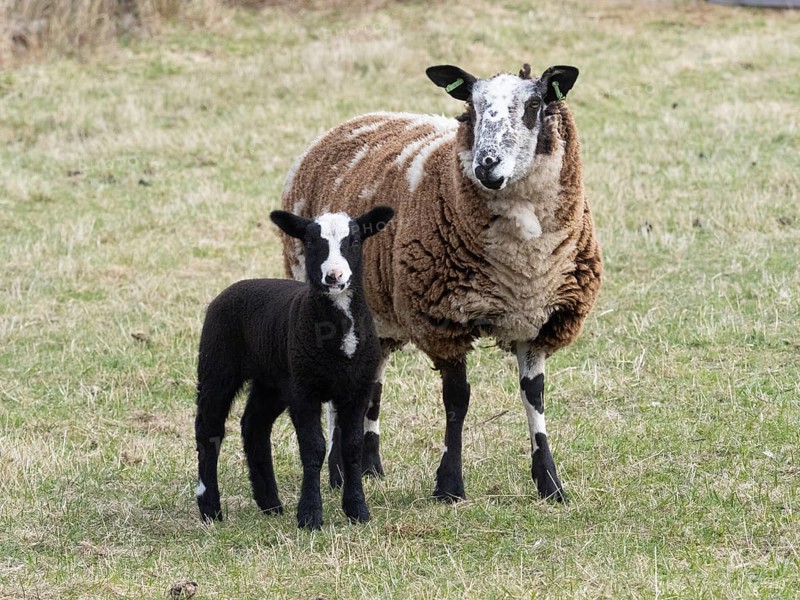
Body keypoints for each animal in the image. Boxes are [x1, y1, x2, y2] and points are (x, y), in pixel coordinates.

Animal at [194, 206, 395, 529]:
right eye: (311, 242)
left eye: (354, 241)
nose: (333, 276)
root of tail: (236, 287)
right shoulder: (304, 389)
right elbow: (313, 448)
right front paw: (310, 515)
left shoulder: (357, 388)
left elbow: (352, 447)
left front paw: (357, 510)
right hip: (218, 363)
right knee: (208, 431)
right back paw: (210, 508)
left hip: (272, 381)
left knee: (254, 426)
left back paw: (270, 503)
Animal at [281, 63, 603, 503]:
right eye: (472, 105)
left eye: (535, 104)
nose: (486, 166)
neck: (522, 267)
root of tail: (348, 124)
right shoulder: (443, 321)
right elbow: (457, 401)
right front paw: (449, 485)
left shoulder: (540, 320)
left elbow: (533, 397)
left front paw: (550, 484)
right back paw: (337, 473)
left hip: (380, 319)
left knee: (371, 385)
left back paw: (369, 468)